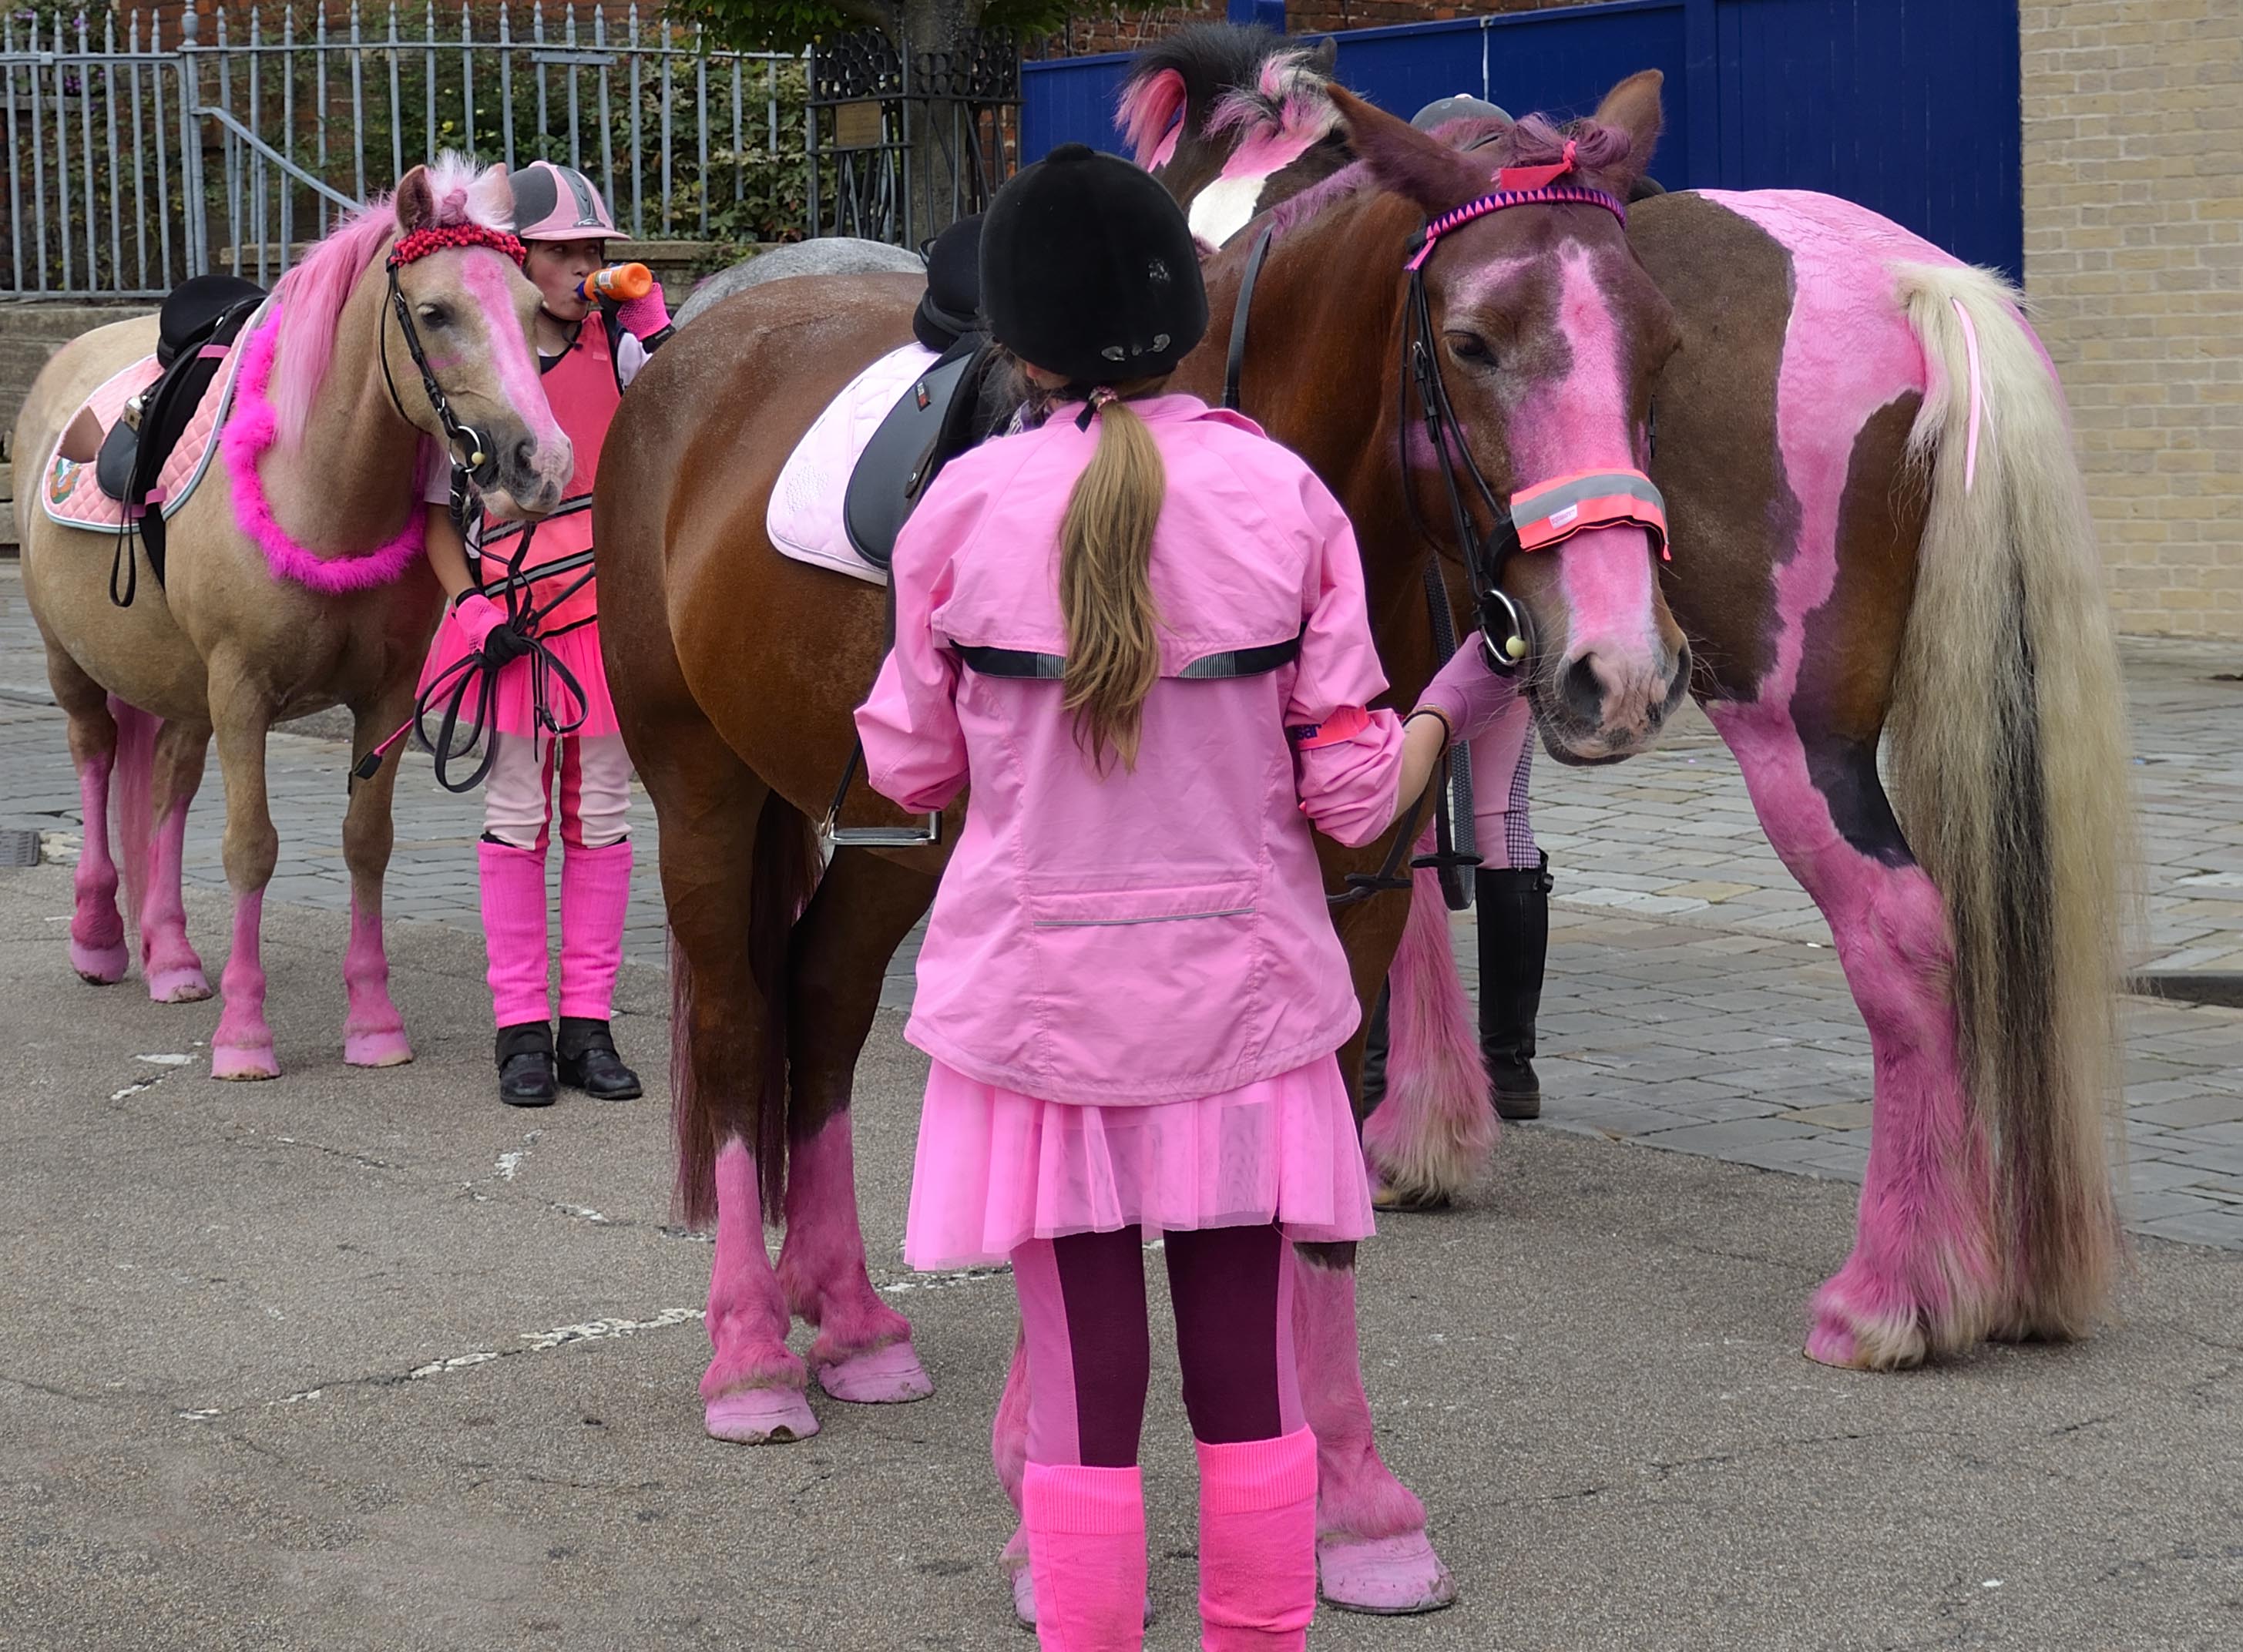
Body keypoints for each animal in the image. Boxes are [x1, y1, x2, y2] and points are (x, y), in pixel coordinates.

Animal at [15, 161, 569, 1076]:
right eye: (434, 312)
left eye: (533, 311)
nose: (544, 462)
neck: (317, 486)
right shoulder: (242, 692)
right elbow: (251, 848)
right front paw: (245, 1034)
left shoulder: (387, 696)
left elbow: (365, 840)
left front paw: (374, 1022)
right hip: (74, 664)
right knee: (95, 761)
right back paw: (99, 938)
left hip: (182, 685)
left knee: (168, 786)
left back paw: (171, 956)